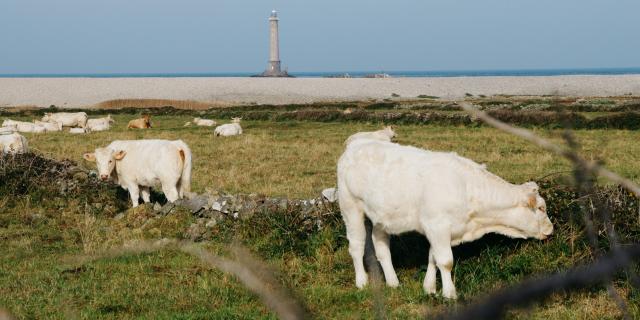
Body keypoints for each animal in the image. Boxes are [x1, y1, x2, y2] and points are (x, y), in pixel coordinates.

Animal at [338, 140, 552, 298]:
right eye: (541, 208)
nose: (551, 229)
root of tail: (356, 144)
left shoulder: (439, 230)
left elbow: (433, 258)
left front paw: (429, 288)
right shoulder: (437, 226)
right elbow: (446, 261)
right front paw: (449, 294)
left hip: (381, 217)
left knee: (381, 247)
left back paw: (393, 282)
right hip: (350, 208)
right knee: (356, 246)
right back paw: (362, 282)